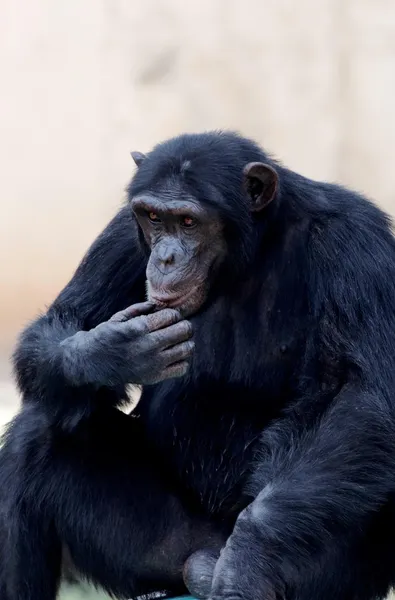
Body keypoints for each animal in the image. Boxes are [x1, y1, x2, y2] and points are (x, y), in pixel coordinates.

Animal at [0, 132, 395, 600]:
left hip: (329, 580)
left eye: (188, 222)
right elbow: (60, 323)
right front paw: (109, 352)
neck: (251, 252)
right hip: (161, 552)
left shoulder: (355, 241)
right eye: (154, 217)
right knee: (37, 432)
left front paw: (249, 558)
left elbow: (362, 396)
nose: (166, 257)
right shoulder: (122, 232)